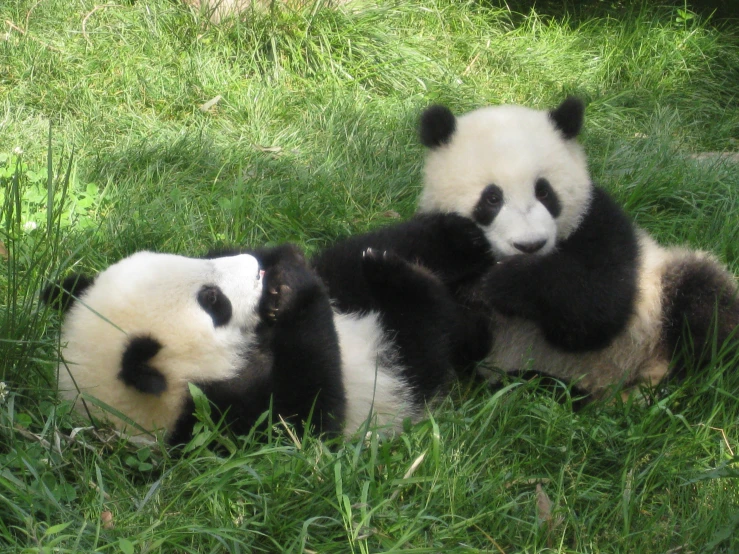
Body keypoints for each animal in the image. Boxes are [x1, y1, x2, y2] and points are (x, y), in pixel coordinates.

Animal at [43, 238, 474, 444]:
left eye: (186, 257)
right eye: (213, 301)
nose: (255, 268)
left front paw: (284, 260)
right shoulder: (223, 422)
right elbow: (306, 422)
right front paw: (294, 292)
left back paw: (382, 264)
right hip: (402, 373)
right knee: (424, 332)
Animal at [416, 96, 739, 396]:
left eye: (544, 192)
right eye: (492, 198)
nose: (530, 245)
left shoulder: (599, 222)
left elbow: (598, 306)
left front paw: (506, 282)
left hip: (658, 299)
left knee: (704, 299)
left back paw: (677, 384)